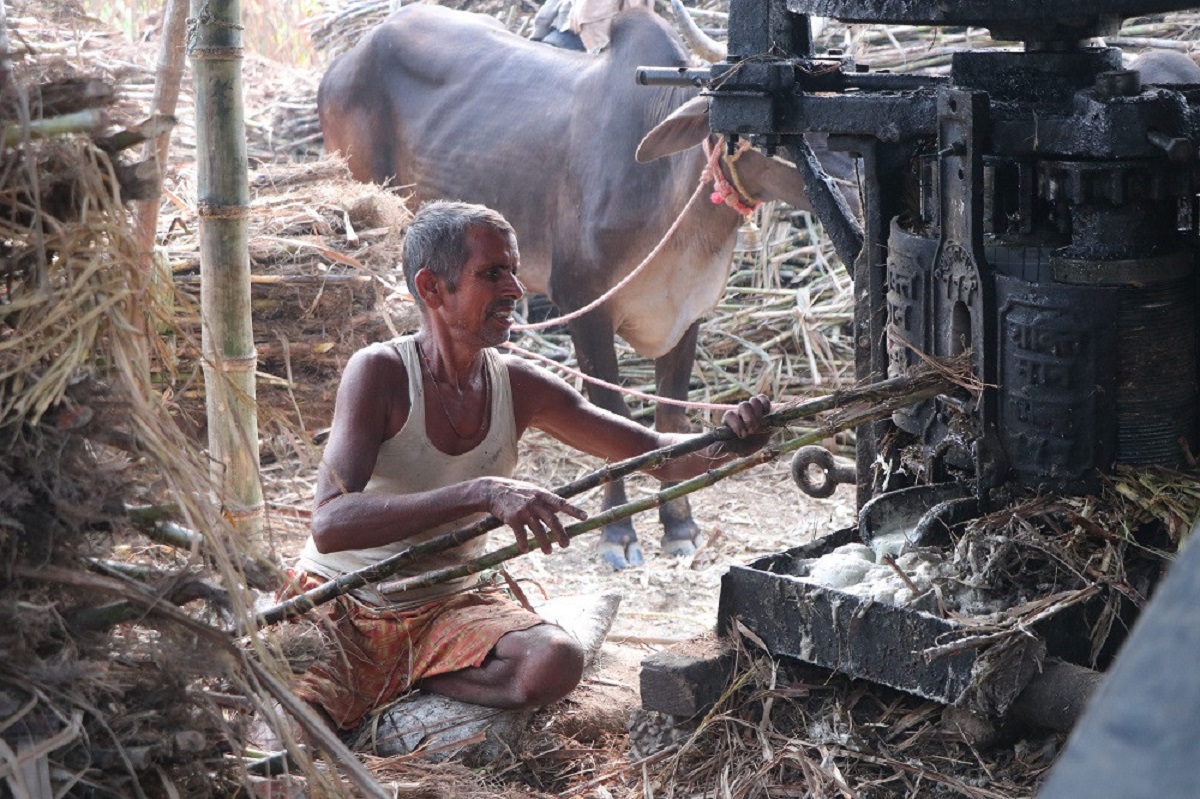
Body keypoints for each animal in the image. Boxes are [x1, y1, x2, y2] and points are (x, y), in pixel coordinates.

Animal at [319, 3, 854, 568]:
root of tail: (348, 59)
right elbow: (611, 409)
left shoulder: (687, 314)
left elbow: (670, 415)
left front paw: (680, 525)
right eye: (784, 125)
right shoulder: (585, 307)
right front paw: (618, 531)